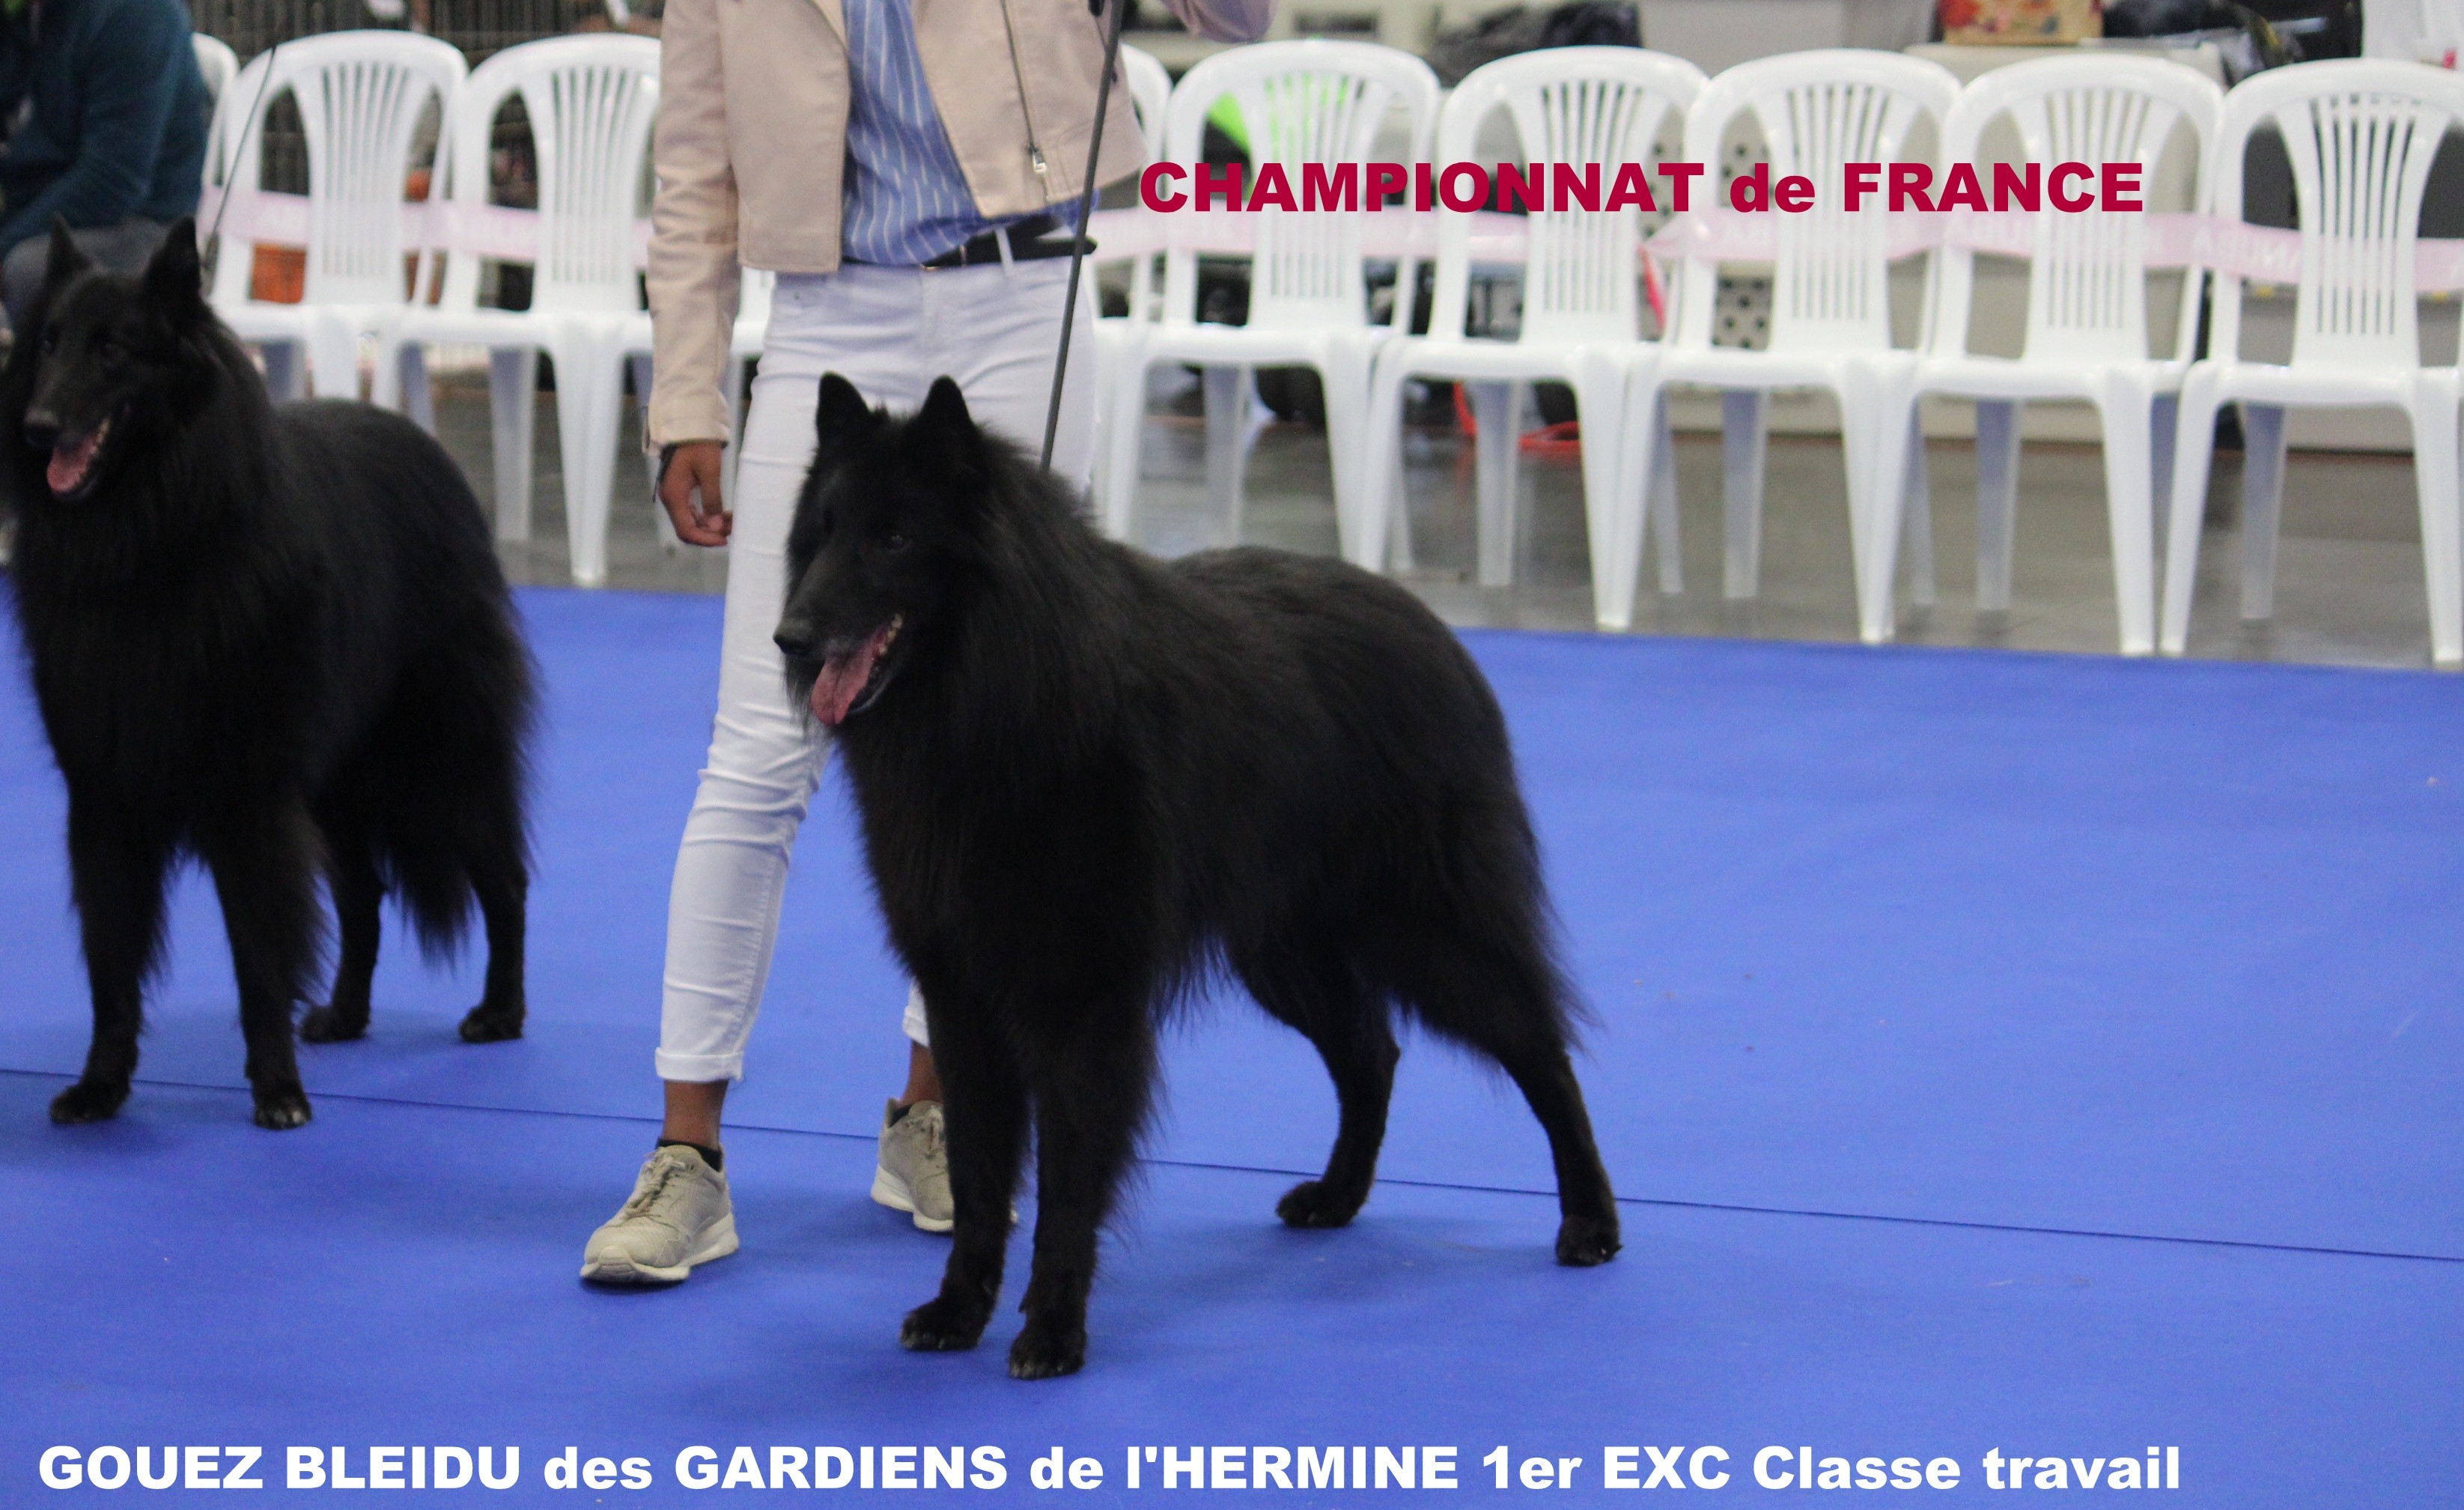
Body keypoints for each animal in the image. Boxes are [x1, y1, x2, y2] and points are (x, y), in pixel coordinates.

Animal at [1, 218, 535, 1123]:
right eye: (47, 342)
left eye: (112, 349)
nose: (36, 429)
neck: (149, 540)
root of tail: (429, 451)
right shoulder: (104, 796)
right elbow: (112, 961)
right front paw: (101, 1085)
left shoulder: (247, 798)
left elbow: (260, 952)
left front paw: (277, 1088)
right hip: (336, 787)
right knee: (363, 900)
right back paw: (346, 1014)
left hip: (443, 761)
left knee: (504, 881)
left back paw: (500, 1010)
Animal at [768, 374, 1616, 1379]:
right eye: (823, 531)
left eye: (893, 538)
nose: (789, 636)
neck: (998, 701)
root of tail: (1428, 623)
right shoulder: (962, 996)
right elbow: (979, 1175)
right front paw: (959, 1308)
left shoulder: (1080, 1004)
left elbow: (1068, 1181)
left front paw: (1053, 1327)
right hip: (1284, 952)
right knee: (1373, 1053)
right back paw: (1337, 1196)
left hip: (1427, 932)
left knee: (1541, 1052)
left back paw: (1590, 1220)